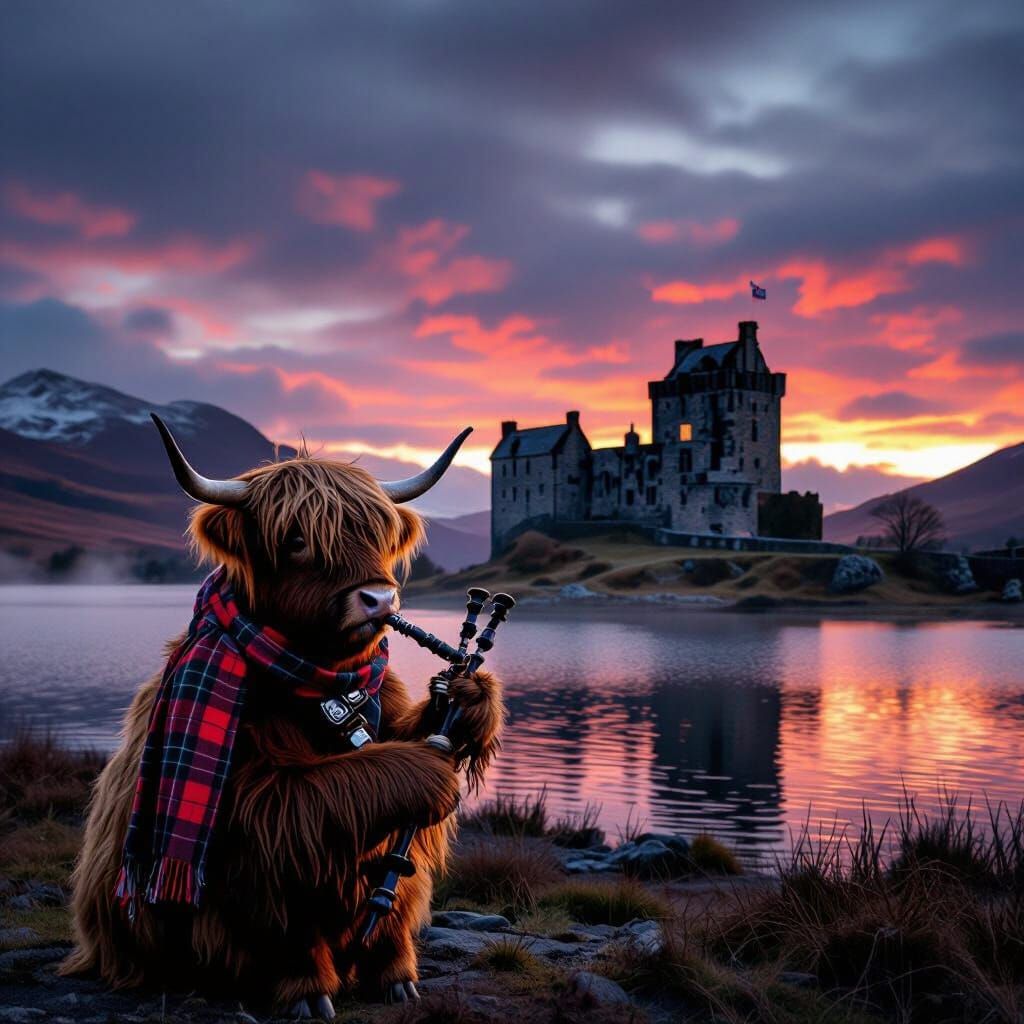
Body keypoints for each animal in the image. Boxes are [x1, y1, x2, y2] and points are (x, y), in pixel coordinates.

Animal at [62, 418, 503, 1019]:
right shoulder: (254, 802)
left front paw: (469, 695)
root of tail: (91, 943)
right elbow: (297, 810)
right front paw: (425, 773)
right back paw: (310, 991)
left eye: (379, 534)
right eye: (297, 541)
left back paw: (396, 977)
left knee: (395, 891)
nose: (379, 599)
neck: (319, 679)